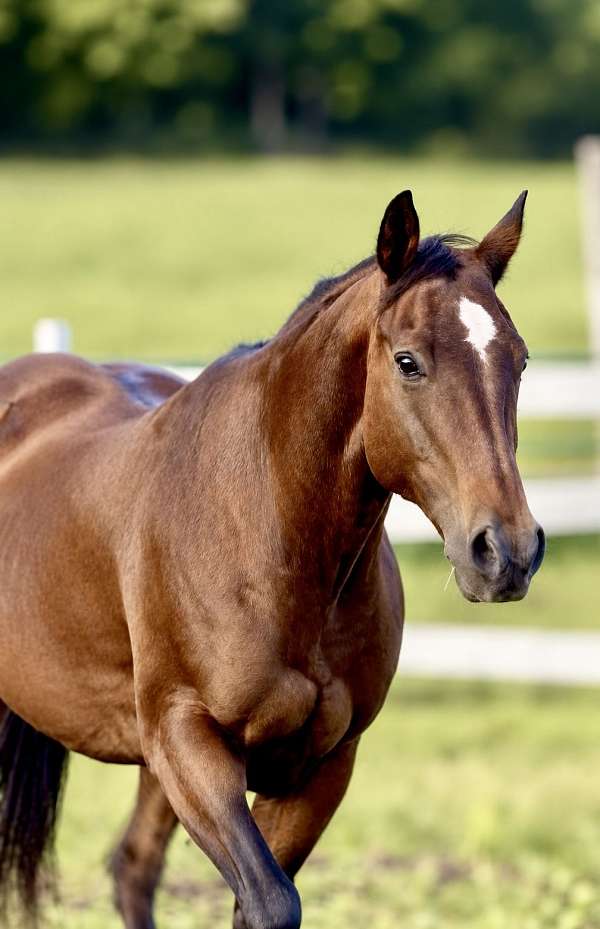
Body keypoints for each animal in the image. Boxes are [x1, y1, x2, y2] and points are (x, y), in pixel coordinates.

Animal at [0, 189, 544, 929]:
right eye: (408, 361)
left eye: (519, 359)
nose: (506, 551)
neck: (273, 535)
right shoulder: (188, 741)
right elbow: (270, 903)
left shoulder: (321, 766)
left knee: (133, 869)